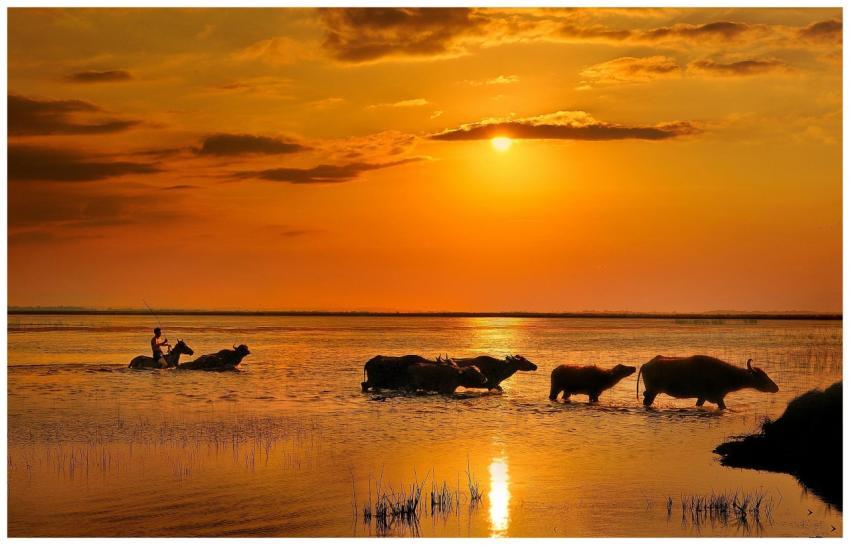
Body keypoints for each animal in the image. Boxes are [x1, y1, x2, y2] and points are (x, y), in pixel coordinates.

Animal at [637, 355, 779, 409]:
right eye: (762, 377)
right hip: (652, 392)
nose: (776, 388)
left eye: (766, 375)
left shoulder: (702, 397)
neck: (725, 374)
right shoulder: (717, 397)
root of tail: (646, 364)